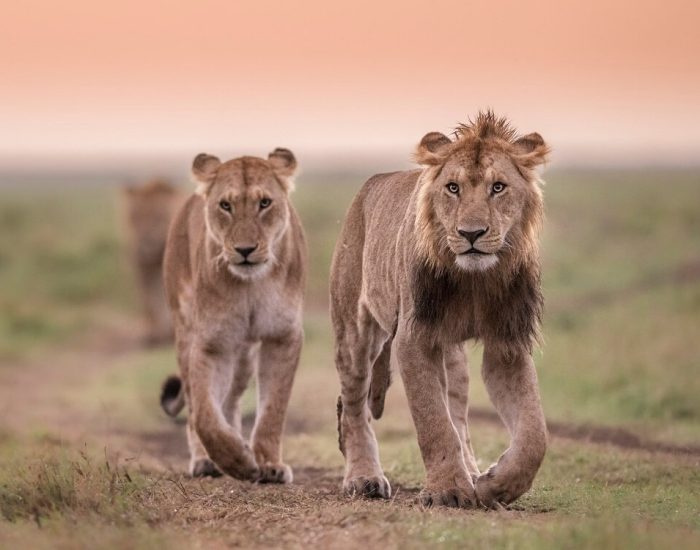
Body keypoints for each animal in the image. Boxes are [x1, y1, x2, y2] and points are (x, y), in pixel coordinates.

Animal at [124, 179, 183, 346]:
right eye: (134, 218)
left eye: (156, 217)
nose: (143, 244)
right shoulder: (144, 270)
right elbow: (150, 301)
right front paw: (152, 335)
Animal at [159, 149, 306, 482]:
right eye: (225, 206)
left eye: (264, 203)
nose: (245, 250)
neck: (251, 285)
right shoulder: (210, 343)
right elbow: (204, 415)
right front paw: (237, 462)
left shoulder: (283, 337)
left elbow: (273, 409)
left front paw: (268, 464)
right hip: (187, 332)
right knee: (196, 406)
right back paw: (206, 461)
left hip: (243, 356)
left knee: (230, 399)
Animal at [331, 111, 550, 508]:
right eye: (452, 188)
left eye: (498, 187)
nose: (471, 234)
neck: (473, 281)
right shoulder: (414, 337)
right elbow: (433, 420)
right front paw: (447, 490)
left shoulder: (507, 344)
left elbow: (533, 434)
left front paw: (496, 485)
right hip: (354, 331)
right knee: (353, 406)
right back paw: (364, 479)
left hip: (452, 354)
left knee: (458, 412)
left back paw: (473, 473)